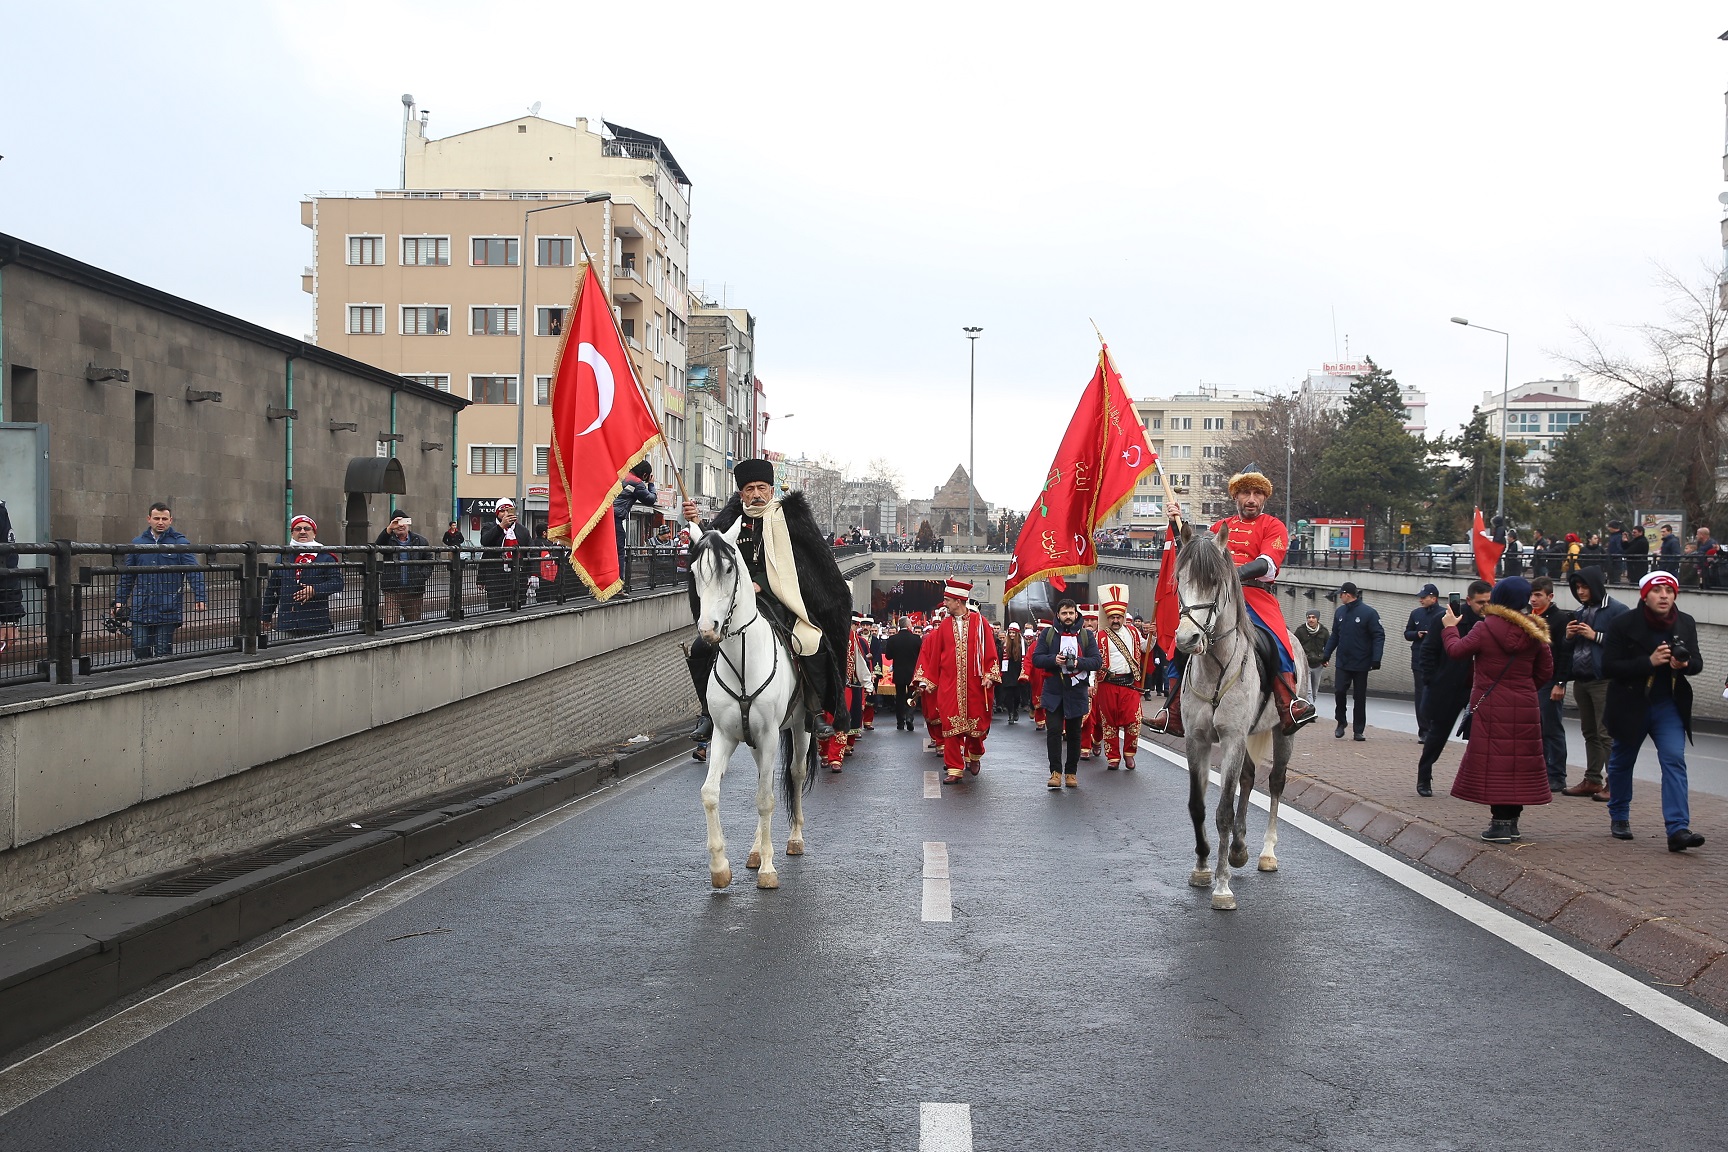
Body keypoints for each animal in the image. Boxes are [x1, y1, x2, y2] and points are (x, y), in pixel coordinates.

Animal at [684, 521, 812, 891]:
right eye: (694, 571)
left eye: (728, 569)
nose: (707, 629)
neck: (742, 662)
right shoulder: (725, 736)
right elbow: (710, 792)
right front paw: (719, 867)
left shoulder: (769, 735)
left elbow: (765, 799)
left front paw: (769, 870)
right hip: (754, 742)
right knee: (762, 779)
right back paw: (755, 851)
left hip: (801, 727)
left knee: (795, 774)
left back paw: (794, 839)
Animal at [1161, 521, 1299, 911]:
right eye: (1181, 579)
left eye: (1214, 582)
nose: (1186, 639)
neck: (1214, 666)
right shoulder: (1198, 740)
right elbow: (1198, 805)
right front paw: (1202, 867)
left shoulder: (1233, 738)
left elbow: (1222, 810)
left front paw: (1222, 887)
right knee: (1248, 780)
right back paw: (1238, 849)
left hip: (1283, 733)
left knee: (1275, 782)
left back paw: (1266, 853)